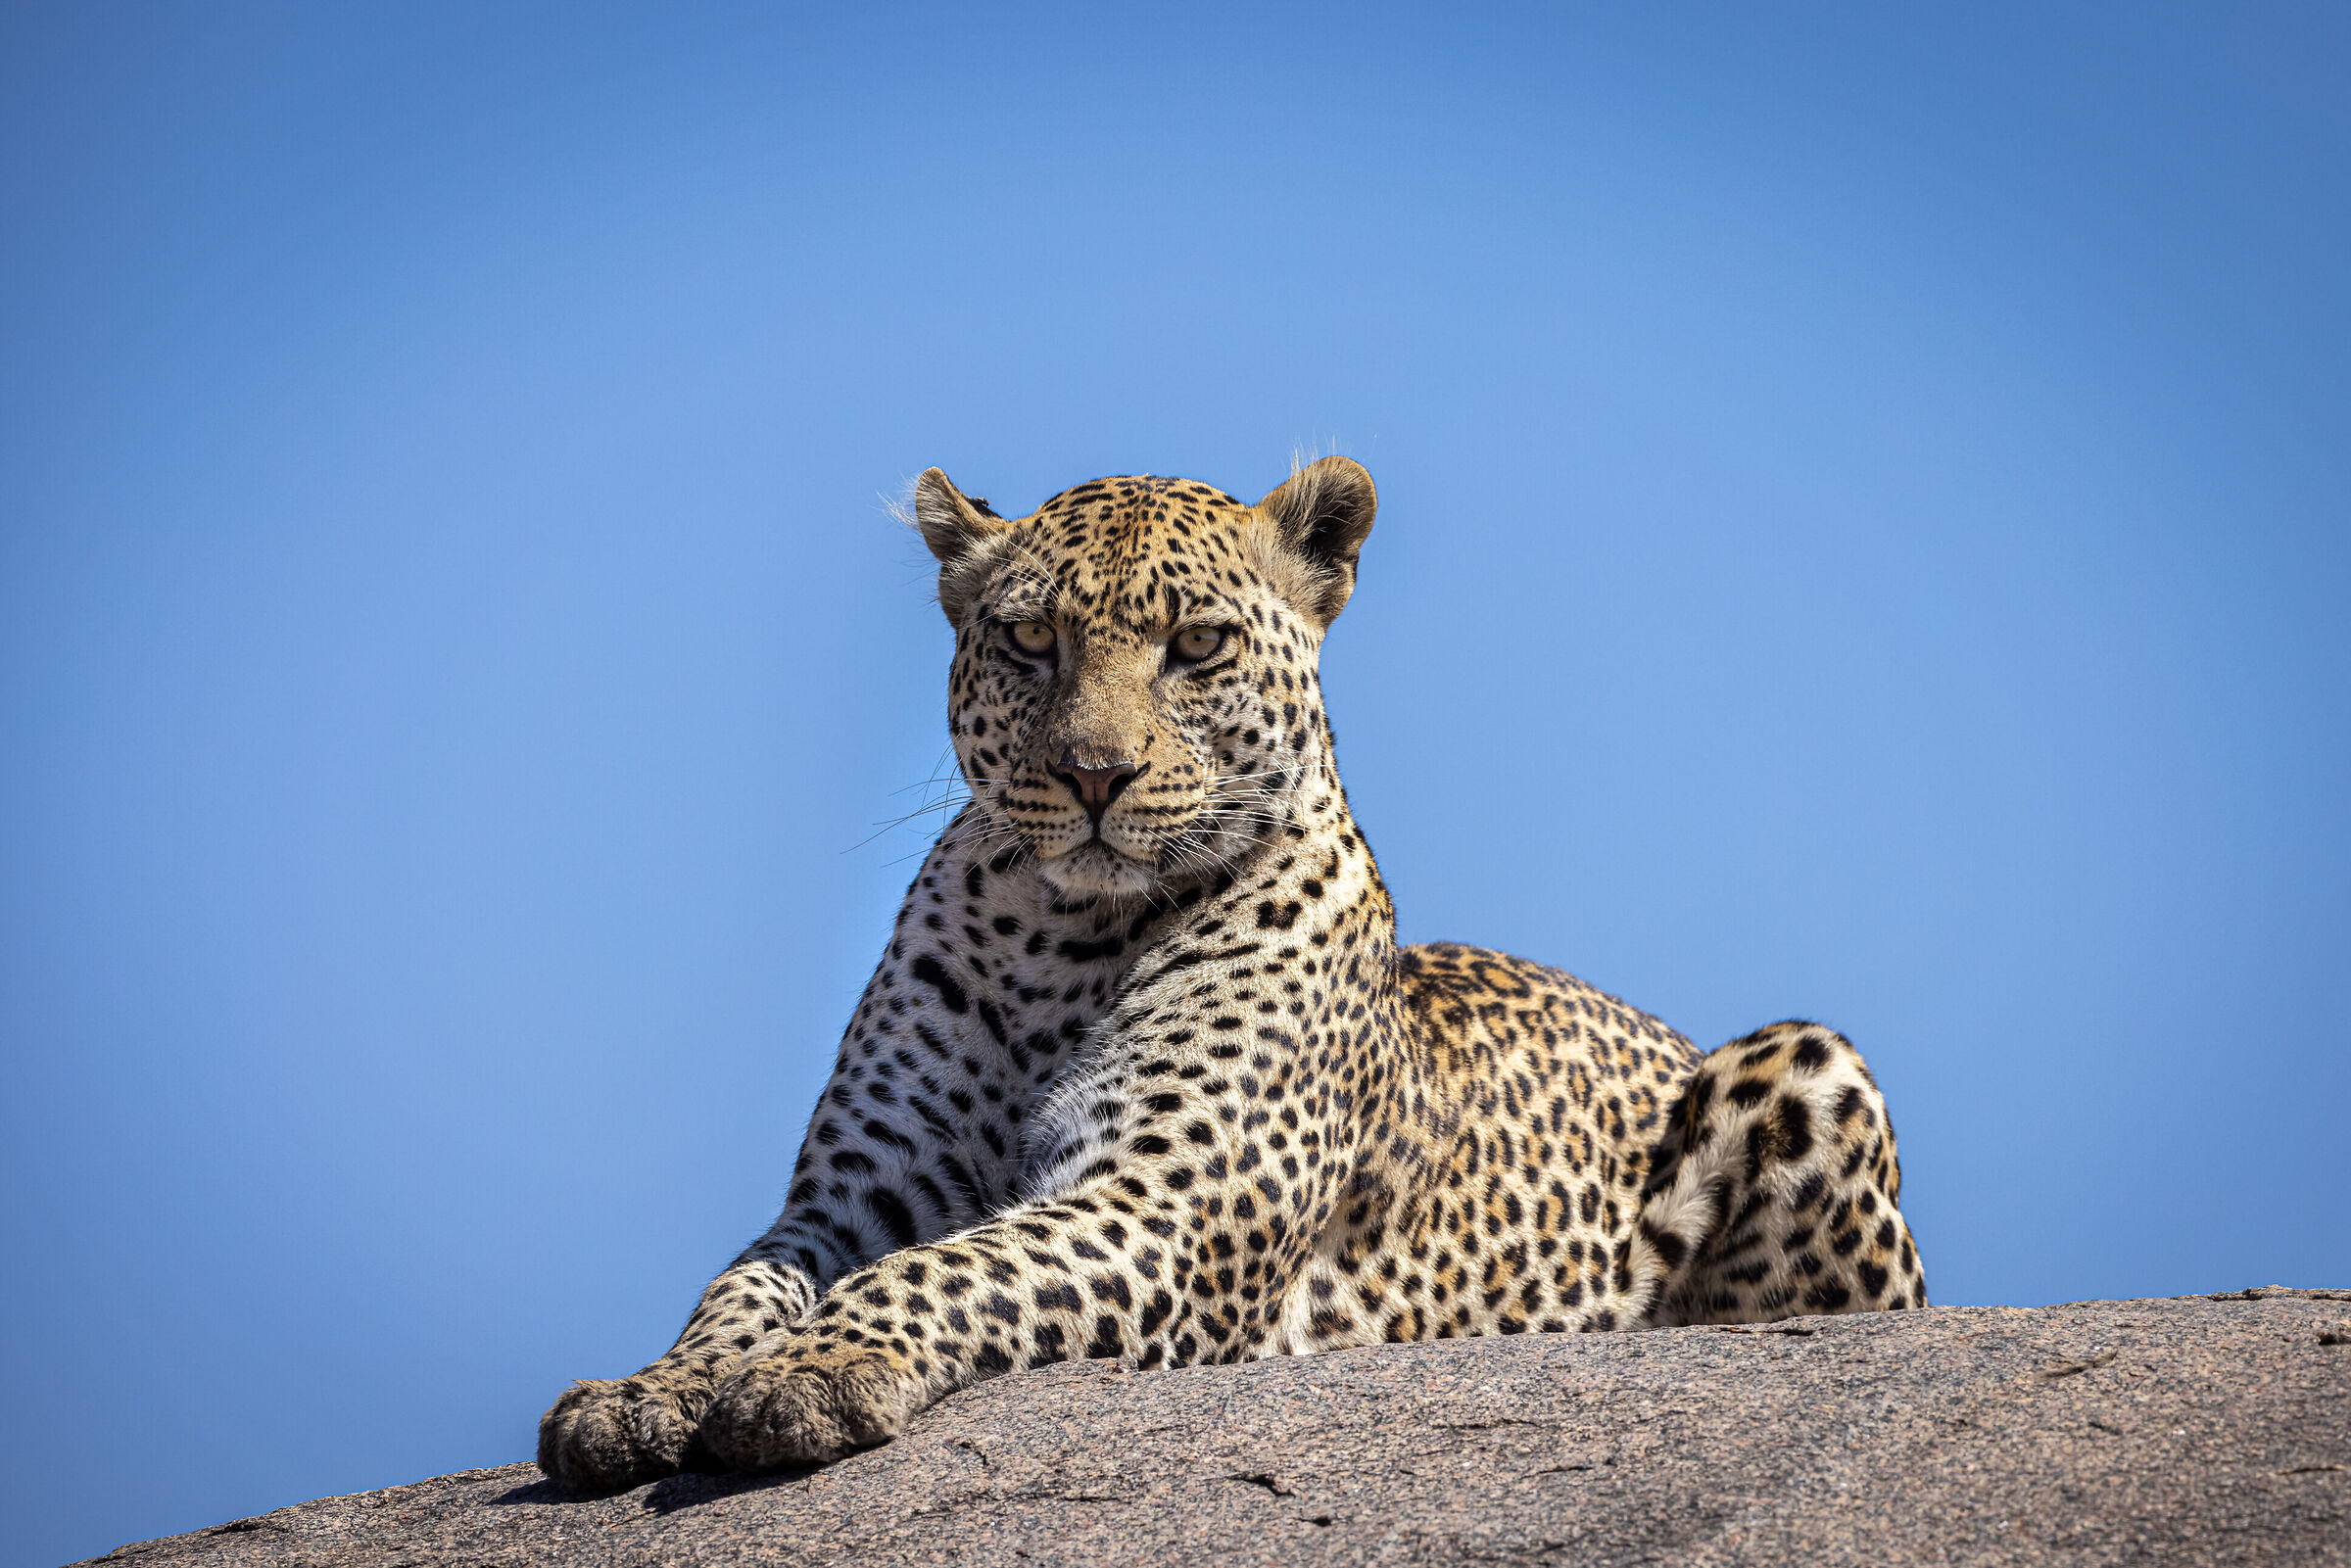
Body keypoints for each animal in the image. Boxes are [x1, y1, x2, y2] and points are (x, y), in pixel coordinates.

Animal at [537, 457, 1927, 1489]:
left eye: (1197, 643)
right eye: (1028, 637)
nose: (1095, 773)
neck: (1060, 942)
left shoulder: (1168, 1204)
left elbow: (952, 1264)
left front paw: (812, 1372)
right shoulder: (847, 1197)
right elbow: (736, 1286)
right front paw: (643, 1393)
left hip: (1807, 1062)